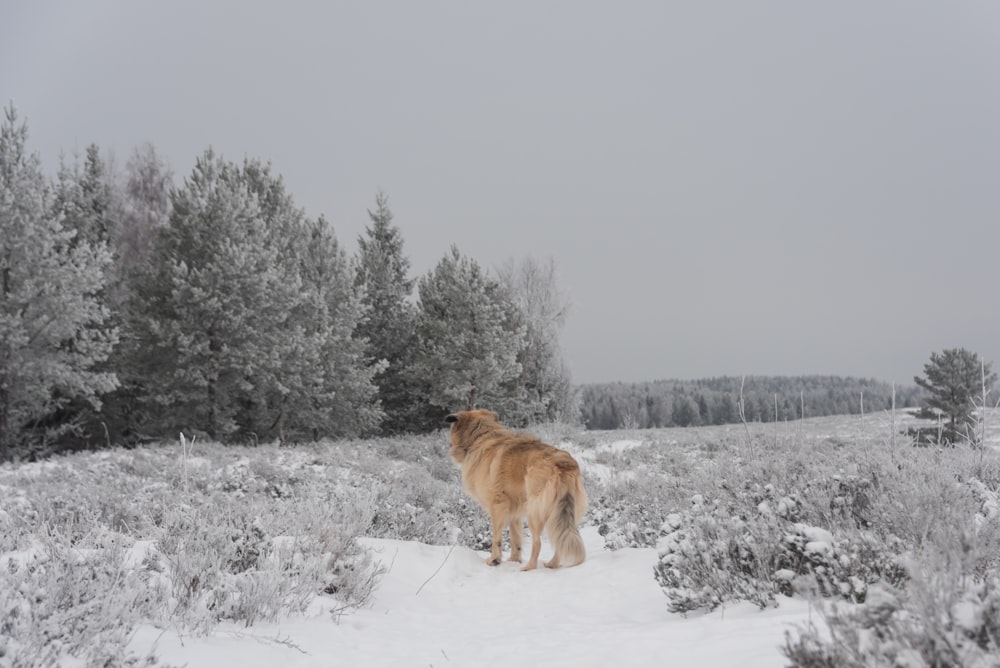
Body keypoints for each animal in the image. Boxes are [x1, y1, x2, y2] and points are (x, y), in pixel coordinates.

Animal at [446, 410, 584, 572]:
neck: (481, 436)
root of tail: (562, 463)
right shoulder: (514, 511)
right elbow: (515, 538)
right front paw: (514, 560)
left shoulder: (498, 505)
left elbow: (496, 537)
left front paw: (494, 560)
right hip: (558, 512)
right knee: (559, 537)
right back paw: (552, 565)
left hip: (535, 511)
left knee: (538, 542)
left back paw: (529, 567)